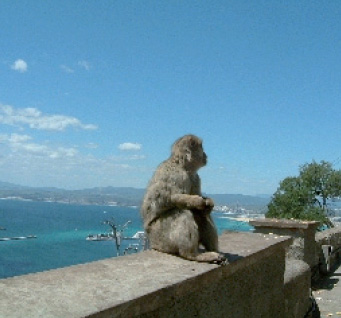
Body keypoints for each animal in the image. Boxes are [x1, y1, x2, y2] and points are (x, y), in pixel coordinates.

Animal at [139, 134, 224, 264]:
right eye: (201, 148)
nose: (205, 154)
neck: (182, 165)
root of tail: (153, 244)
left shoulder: (195, 177)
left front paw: (209, 203)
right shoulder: (178, 175)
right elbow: (172, 197)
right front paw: (198, 201)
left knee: (201, 214)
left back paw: (214, 252)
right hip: (160, 237)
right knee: (182, 212)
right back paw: (193, 255)